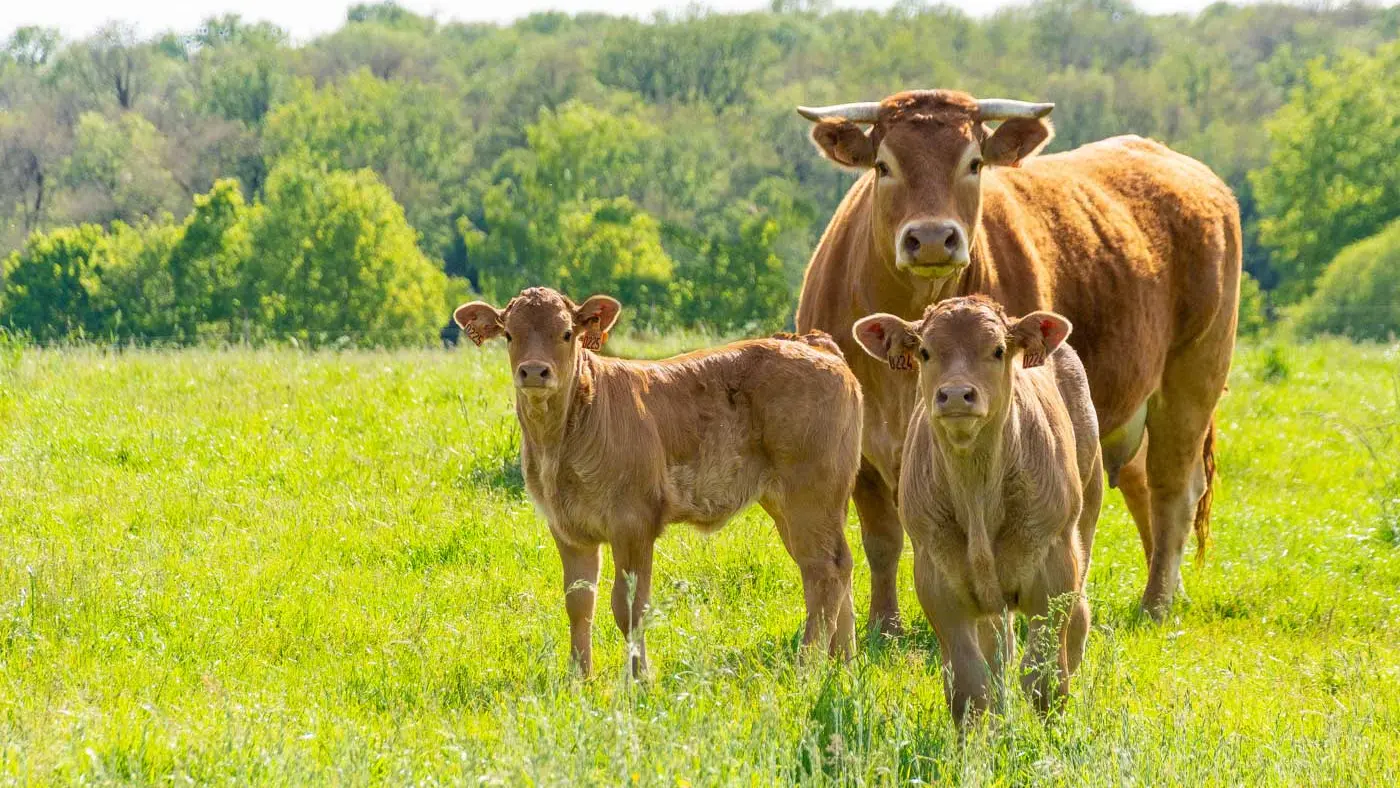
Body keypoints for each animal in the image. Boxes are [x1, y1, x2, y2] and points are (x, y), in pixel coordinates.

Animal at [453, 287, 863, 676]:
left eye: (567, 333)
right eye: (509, 334)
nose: (535, 371)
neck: (559, 442)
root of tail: (809, 343)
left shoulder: (633, 524)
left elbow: (629, 607)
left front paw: (638, 679)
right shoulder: (567, 529)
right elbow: (579, 603)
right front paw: (579, 679)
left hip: (809, 495)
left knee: (824, 572)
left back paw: (808, 667)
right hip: (800, 506)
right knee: (837, 566)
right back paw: (843, 662)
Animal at [795, 90, 1240, 627]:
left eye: (974, 163)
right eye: (883, 165)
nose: (931, 238)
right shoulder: (862, 450)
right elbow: (881, 541)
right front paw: (886, 626)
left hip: (1193, 375)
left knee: (1172, 491)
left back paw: (1155, 604)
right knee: (1142, 487)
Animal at [854, 296, 1100, 726]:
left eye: (998, 350)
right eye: (925, 351)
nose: (955, 395)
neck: (977, 498)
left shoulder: (1054, 571)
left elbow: (1043, 678)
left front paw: (1051, 736)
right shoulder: (937, 579)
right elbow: (969, 683)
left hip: (1085, 517)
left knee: (1077, 622)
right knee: (998, 648)